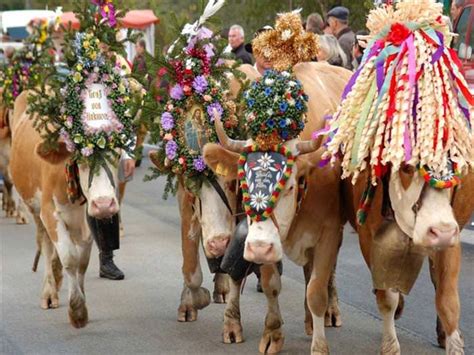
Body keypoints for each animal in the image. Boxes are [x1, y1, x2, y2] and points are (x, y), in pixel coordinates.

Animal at [8, 91, 120, 328]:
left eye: (116, 154)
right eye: (82, 158)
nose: (104, 204)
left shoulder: (87, 221)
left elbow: (82, 263)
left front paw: (82, 302)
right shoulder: (50, 213)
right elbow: (69, 257)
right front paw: (76, 310)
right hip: (36, 210)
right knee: (46, 244)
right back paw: (49, 292)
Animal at [204, 62, 352, 354]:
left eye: (290, 187)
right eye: (243, 184)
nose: (258, 248)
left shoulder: (329, 233)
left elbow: (317, 290)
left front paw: (319, 346)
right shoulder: (268, 241)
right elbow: (271, 284)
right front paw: (272, 334)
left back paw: (329, 313)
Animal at [342, 166, 472, 354]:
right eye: (406, 168)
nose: (440, 231)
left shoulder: (450, 235)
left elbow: (447, 300)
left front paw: (454, 344)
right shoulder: (367, 235)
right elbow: (387, 296)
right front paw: (390, 347)